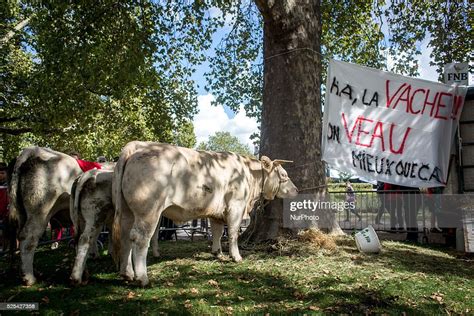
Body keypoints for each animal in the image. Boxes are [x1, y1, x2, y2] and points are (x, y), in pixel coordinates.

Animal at [112, 141, 296, 286]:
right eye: (284, 175)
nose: (297, 190)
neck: (249, 176)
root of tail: (138, 145)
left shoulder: (217, 212)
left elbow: (217, 232)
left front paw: (217, 252)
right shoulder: (236, 206)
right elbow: (233, 233)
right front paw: (235, 256)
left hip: (128, 211)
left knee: (125, 236)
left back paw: (127, 273)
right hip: (149, 211)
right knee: (140, 239)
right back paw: (142, 278)